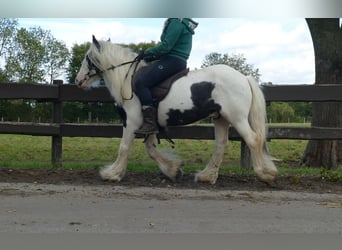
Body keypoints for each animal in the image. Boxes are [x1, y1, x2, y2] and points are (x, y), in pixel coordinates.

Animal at [75, 36, 278, 186]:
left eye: (87, 58)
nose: (78, 81)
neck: (128, 80)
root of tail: (243, 77)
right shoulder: (149, 125)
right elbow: (151, 149)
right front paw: (173, 169)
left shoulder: (131, 122)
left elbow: (124, 148)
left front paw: (112, 174)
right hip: (221, 118)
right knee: (221, 145)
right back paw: (207, 176)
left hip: (237, 118)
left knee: (252, 140)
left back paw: (265, 175)